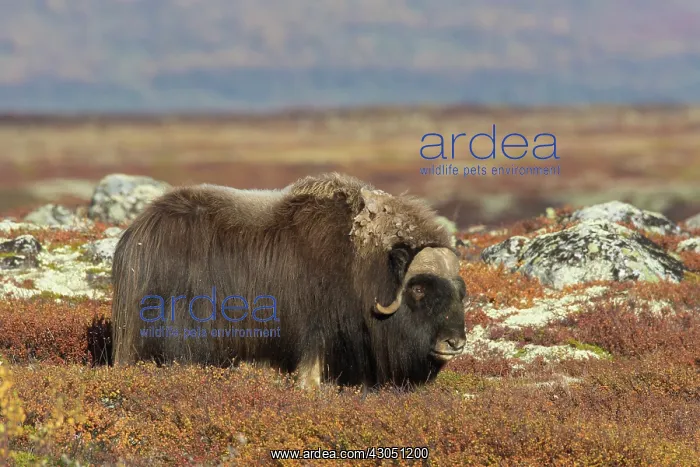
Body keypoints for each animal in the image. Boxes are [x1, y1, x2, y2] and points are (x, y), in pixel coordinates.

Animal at [111, 173, 467, 389]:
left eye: (460, 293)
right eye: (418, 288)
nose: (455, 344)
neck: (361, 260)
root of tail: (137, 232)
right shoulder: (314, 330)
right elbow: (309, 370)